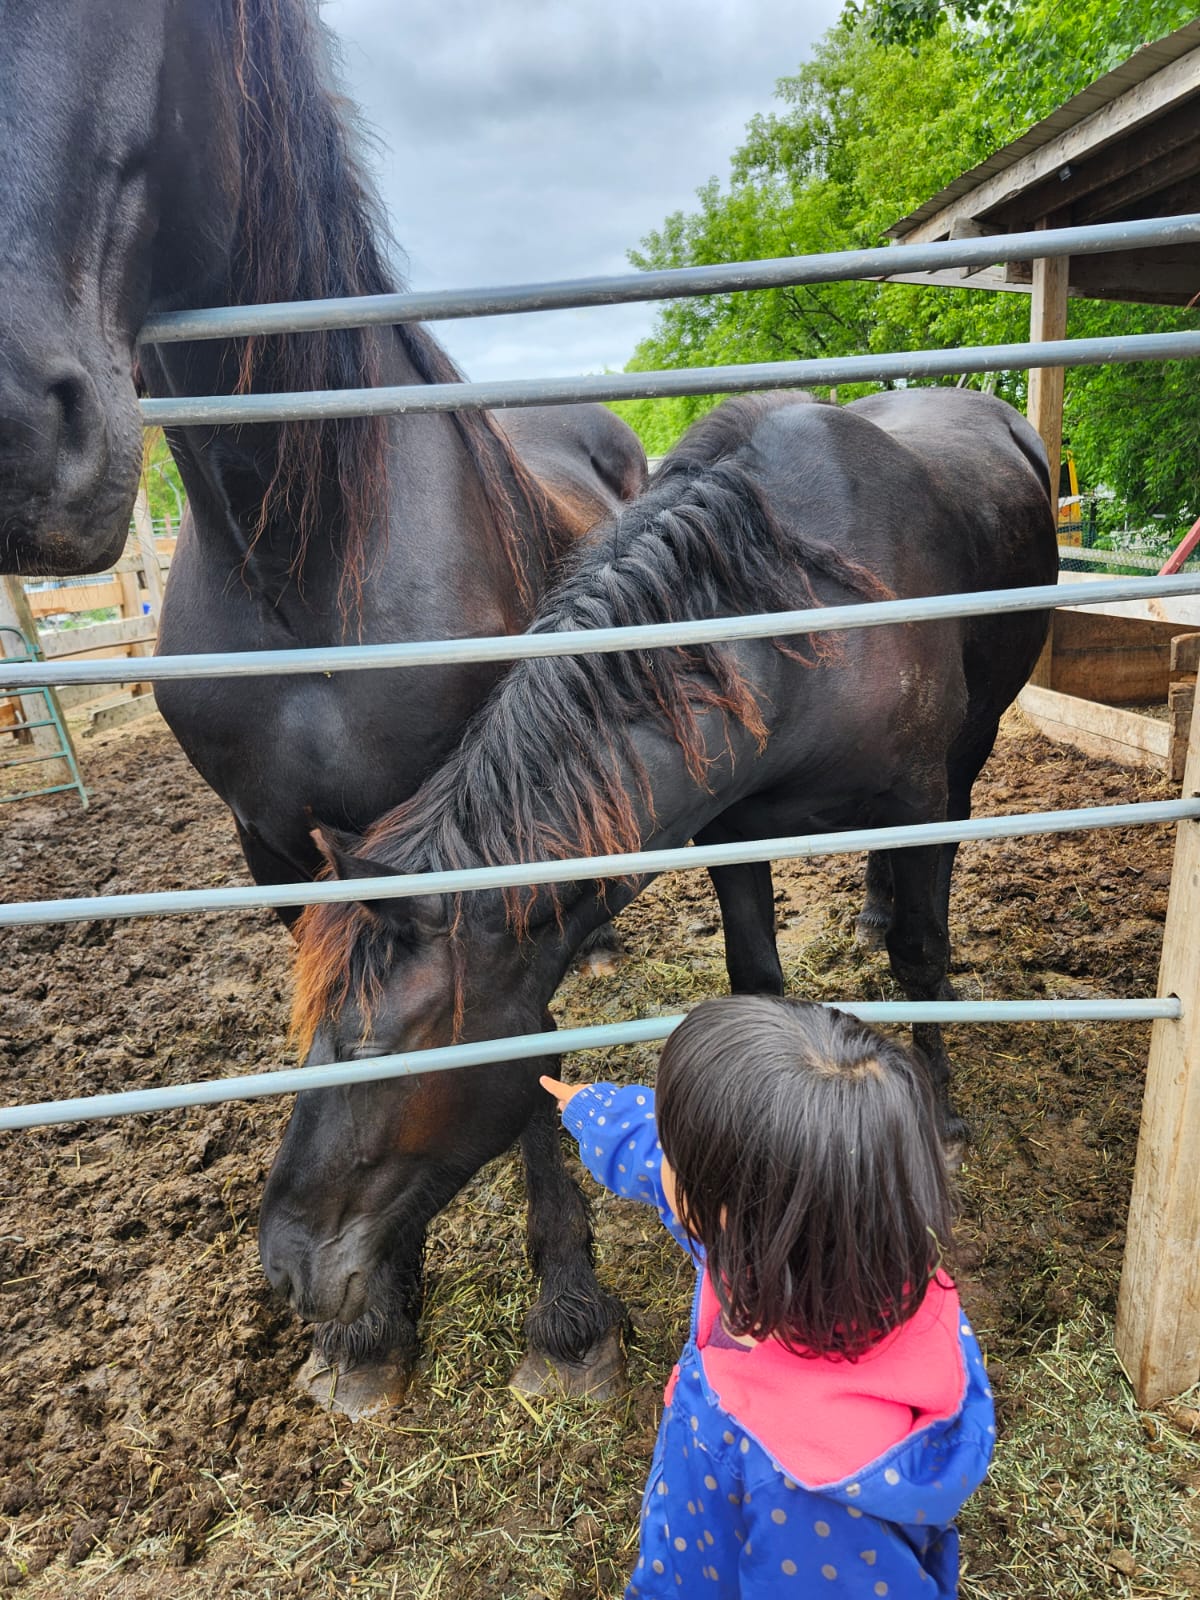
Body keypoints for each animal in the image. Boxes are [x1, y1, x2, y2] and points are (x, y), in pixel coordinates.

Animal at [0, 0, 646, 1409]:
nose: (19, 423)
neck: (308, 560)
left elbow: (509, 1054)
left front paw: (568, 1320)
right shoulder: (276, 845)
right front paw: (367, 1330)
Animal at [263, 386, 1058, 1413]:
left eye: (371, 1050)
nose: (283, 1264)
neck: (794, 624)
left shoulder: (916, 793)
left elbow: (923, 951)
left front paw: (944, 1117)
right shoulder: (732, 829)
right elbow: (757, 981)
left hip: (970, 750)